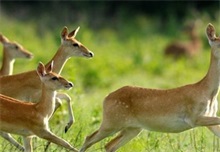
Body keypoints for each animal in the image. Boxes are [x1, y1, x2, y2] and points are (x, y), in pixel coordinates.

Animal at [80, 22, 220, 152]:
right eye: (218, 44)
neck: (208, 92)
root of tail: (106, 97)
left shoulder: (208, 117)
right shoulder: (194, 117)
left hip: (132, 128)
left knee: (109, 145)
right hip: (111, 122)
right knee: (89, 138)